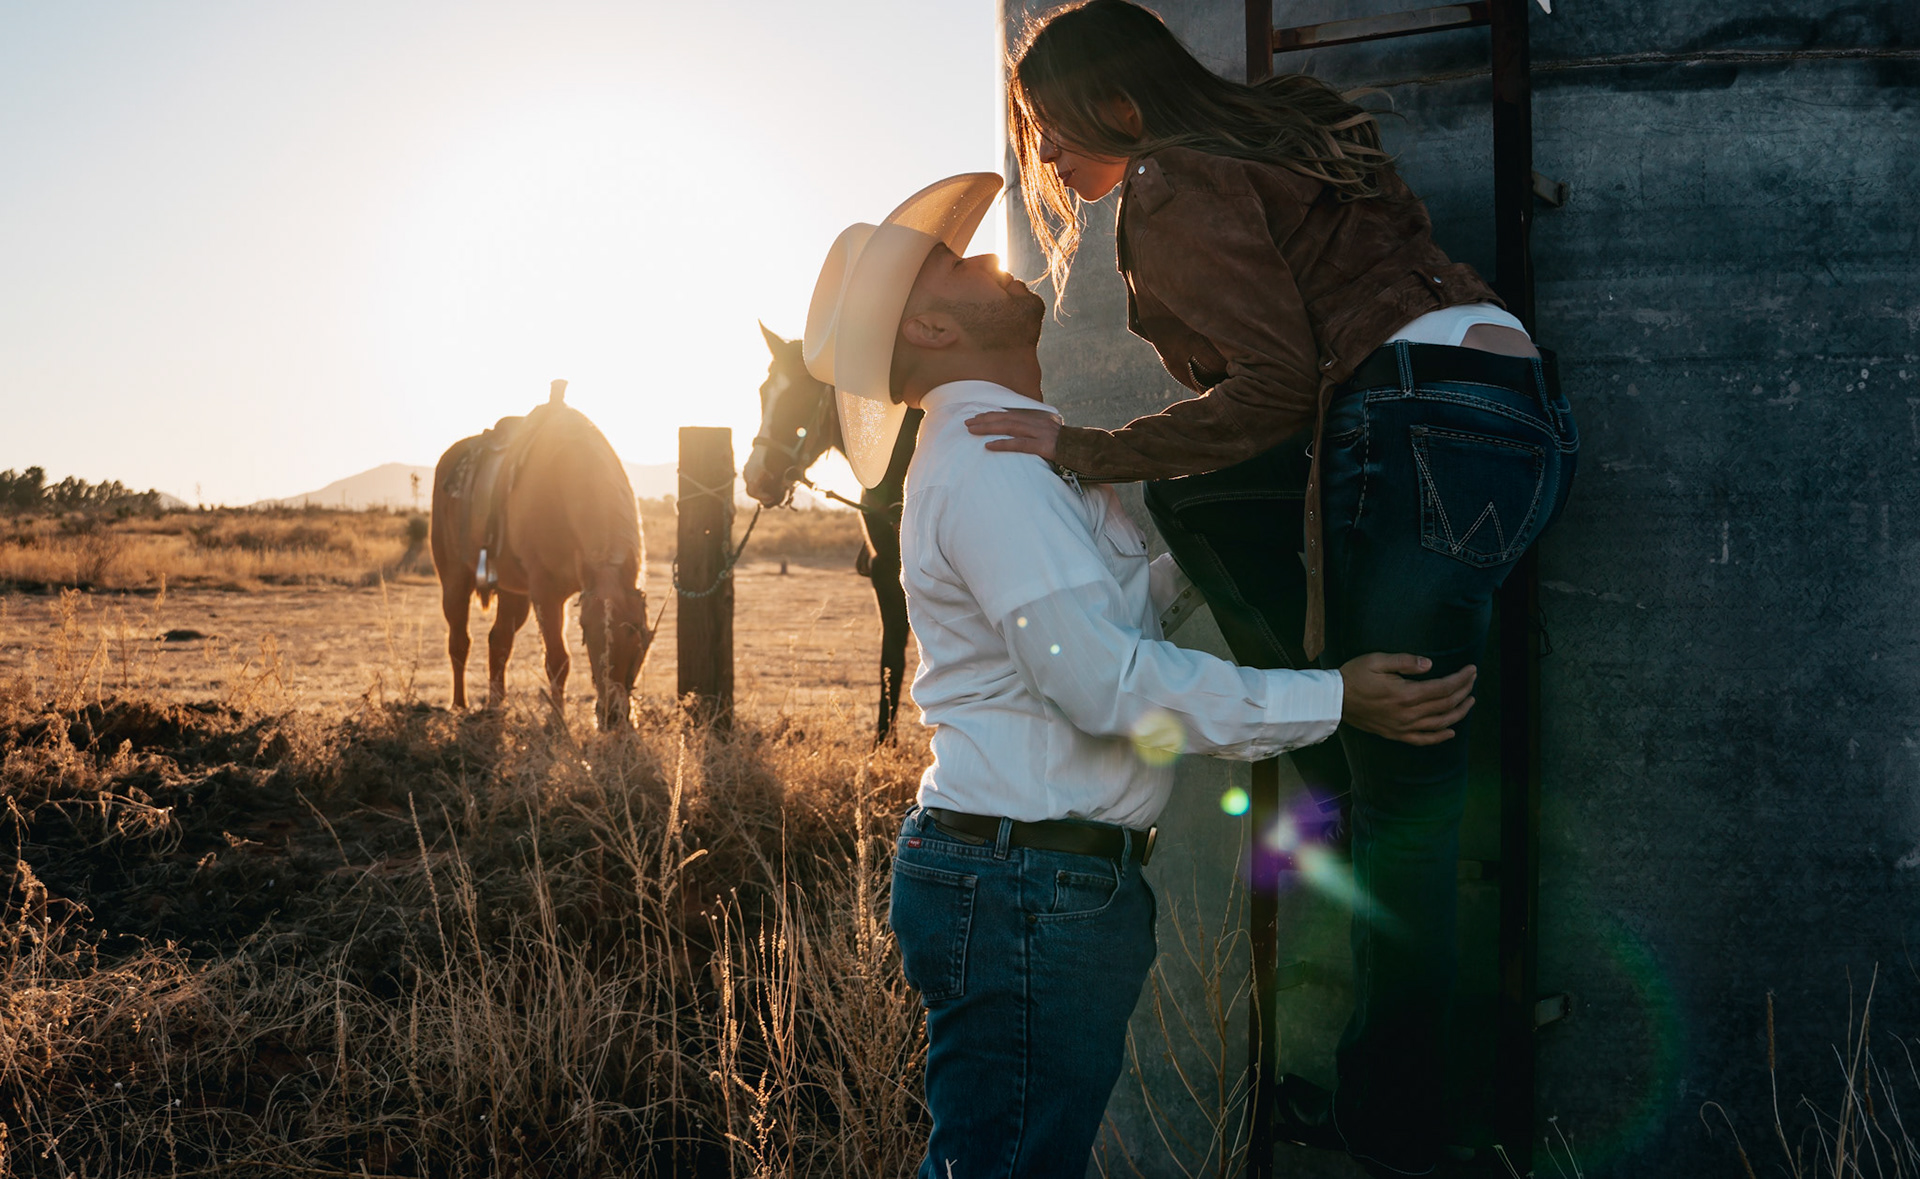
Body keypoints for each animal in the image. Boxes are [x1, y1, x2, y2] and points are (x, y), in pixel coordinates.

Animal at [430, 381, 654, 730]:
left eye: (636, 629)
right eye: (586, 631)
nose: (612, 716)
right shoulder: (546, 594)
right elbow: (558, 660)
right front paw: (557, 723)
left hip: (514, 594)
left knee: (498, 641)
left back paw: (496, 706)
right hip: (455, 580)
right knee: (459, 642)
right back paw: (459, 705)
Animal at [741, 325, 918, 742]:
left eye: (803, 395)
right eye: (764, 391)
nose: (756, 478)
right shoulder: (887, 569)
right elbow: (891, 661)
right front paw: (882, 746)